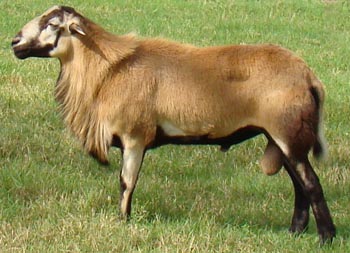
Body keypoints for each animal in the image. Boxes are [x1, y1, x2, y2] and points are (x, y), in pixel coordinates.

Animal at [12, 5, 336, 243]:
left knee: (311, 184)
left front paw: (122, 221)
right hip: (282, 138)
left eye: (53, 24)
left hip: (287, 133)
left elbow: (126, 182)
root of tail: (309, 77)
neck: (106, 71)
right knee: (299, 185)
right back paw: (295, 232)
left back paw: (326, 238)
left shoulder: (134, 137)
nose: (15, 42)